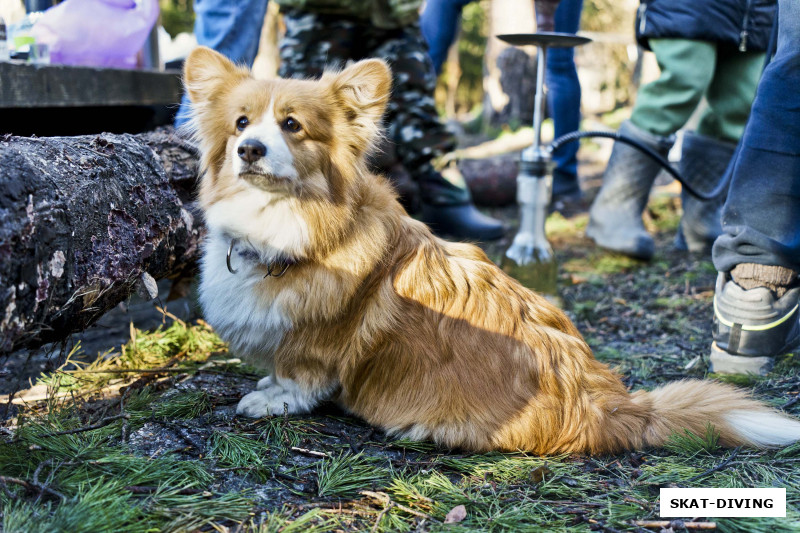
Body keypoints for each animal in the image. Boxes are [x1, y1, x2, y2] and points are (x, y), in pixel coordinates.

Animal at [184, 46, 800, 454]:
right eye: (241, 122)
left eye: (292, 125)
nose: (249, 149)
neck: (290, 221)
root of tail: (610, 406)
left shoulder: (317, 344)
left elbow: (300, 376)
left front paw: (271, 399)